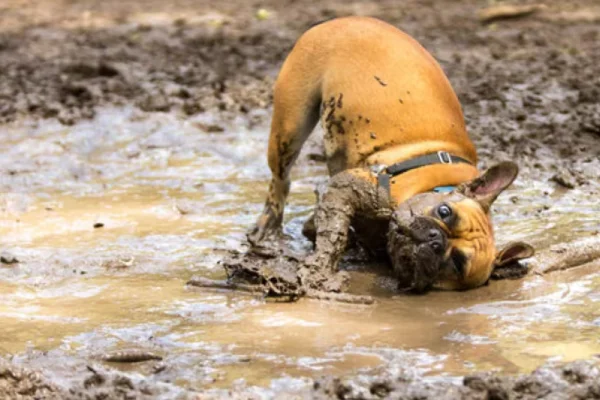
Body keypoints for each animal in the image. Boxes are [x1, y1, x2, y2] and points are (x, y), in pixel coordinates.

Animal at [246, 16, 532, 290]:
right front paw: (320, 269)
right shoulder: (353, 187)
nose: (435, 240)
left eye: (457, 263)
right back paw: (267, 228)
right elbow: (333, 234)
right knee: (281, 179)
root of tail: (341, 20)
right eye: (444, 212)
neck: (437, 185)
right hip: (290, 125)